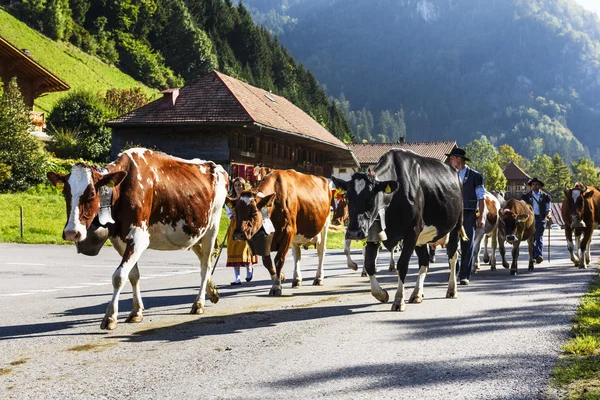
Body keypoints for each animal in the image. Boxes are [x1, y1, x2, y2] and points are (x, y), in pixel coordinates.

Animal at [47, 148, 227, 330]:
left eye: (91, 193)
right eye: (65, 193)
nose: (72, 232)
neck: (122, 189)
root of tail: (216, 166)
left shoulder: (139, 237)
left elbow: (119, 276)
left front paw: (110, 316)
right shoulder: (119, 239)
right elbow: (133, 275)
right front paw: (136, 312)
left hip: (212, 226)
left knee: (205, 265)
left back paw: (199, 304)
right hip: (194, 232)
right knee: (204, 259)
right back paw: (212, 291)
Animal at [231, 167, 332, 296]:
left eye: (254, 211)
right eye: (236, 211)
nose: (238, 234)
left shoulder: (288, 232)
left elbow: (279, 259)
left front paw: (276, 286)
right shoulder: (266, 238)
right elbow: (267, 262)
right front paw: (279, 278)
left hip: (324, 226)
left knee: (320, 253)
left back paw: (319, 278)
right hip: (296, 237)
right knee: (297, 255)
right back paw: (297, 279)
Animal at [332, 148, 464, 310]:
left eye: (370, 199)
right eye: (347, 198)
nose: (353, 232)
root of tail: (454, 171)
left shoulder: (412, 230)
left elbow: (402, 265)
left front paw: (399, 299)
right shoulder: (373, 233)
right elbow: (369, 265)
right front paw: (381, 294)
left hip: (456, 225)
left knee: (453, 256)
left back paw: (451, 289)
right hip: (421, 237)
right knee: (424, 261)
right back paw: (417, 294)